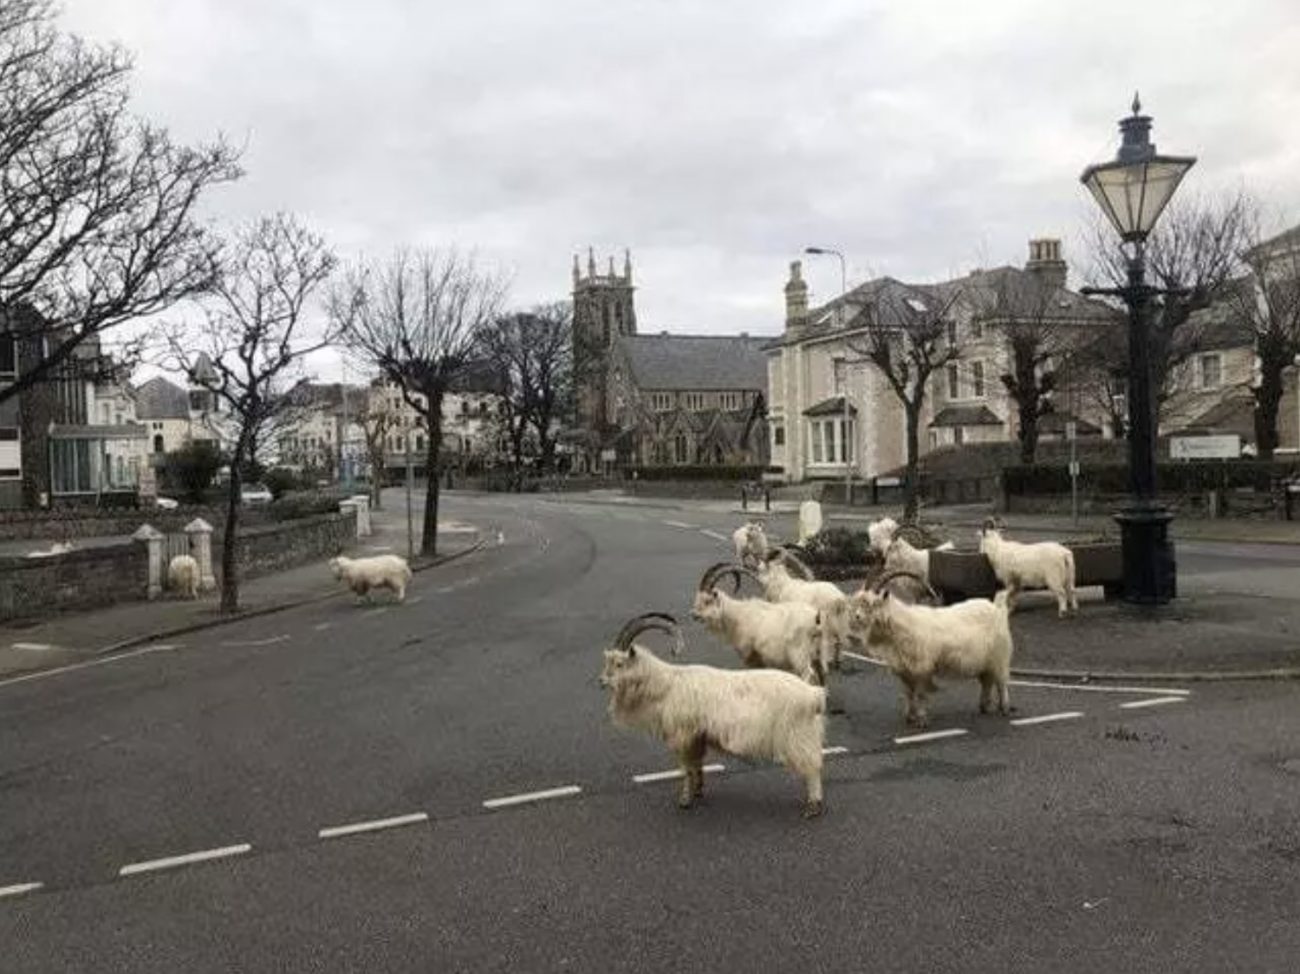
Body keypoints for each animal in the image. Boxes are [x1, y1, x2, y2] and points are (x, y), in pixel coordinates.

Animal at [595, 611, 821, 816]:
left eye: (619, 663)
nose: (601, 681)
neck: (667, 685)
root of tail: (813, 695)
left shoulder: (683, 735)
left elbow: (686, 768)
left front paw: (685, 801)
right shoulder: (697, 736)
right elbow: (697, 764)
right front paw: (698, 791)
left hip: (797, 736)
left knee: (812, 765)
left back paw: (813, 806)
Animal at [696, 559, 826, 686]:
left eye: (707, 601)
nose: (694, 615)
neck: (738, 615)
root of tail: (816, 618)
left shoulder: (749, 656)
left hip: (799, 656)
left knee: (808, 675)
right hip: (818, 657)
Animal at [832, 574, 1013, 728]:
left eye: (873, 604)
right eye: (857, 603)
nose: (856, 618)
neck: (903, 626)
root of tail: (997, 608)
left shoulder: (922, 669)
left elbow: (920, 694)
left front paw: (921, 719)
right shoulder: (905, 671)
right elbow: (908, 693)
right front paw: (909, 717)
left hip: (1000, 655)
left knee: (1001, 681)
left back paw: (1004, 707)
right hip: (984, 660)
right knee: (987, 681)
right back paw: (984, 706)